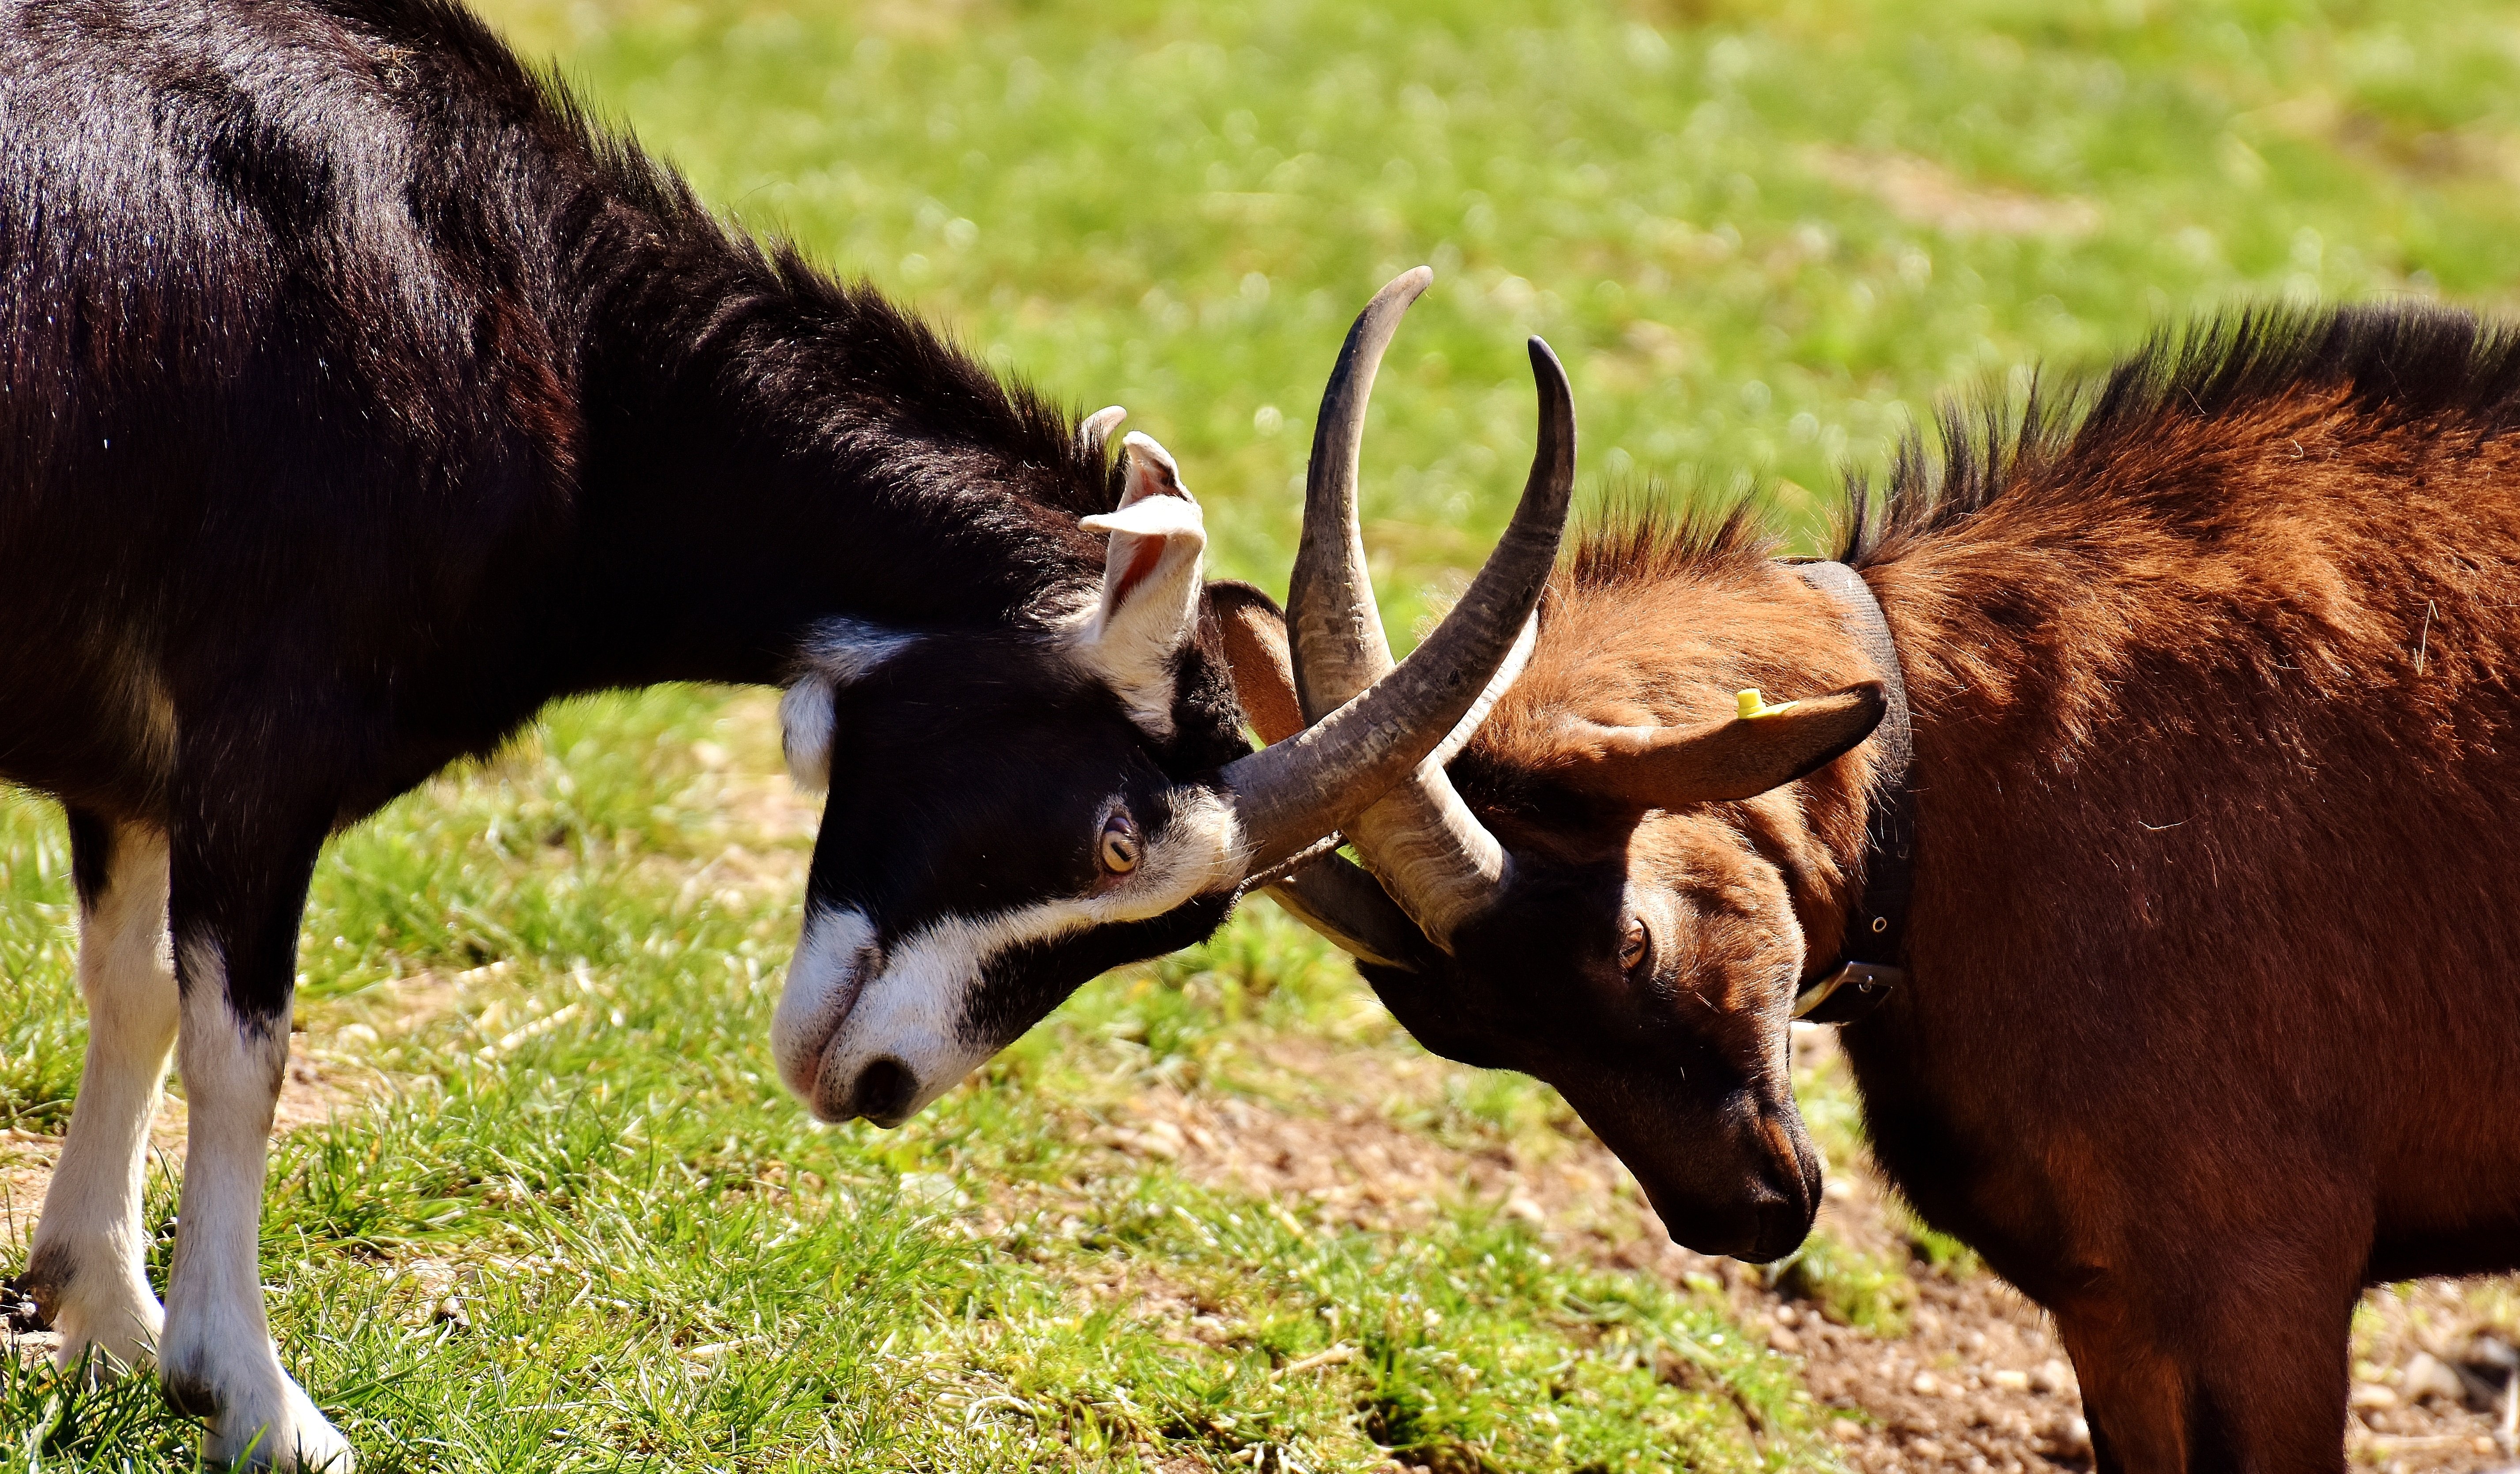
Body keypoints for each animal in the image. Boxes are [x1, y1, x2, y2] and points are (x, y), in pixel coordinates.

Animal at [0, 3, 1562, 1461]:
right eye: (1116, 839)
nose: (881, 1088)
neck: (555, 339)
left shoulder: (142, 769)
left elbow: (135, 988)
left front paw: (105, 1314)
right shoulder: (265, 749)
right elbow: (243, 1048)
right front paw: (252, 1398)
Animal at [1245, 293, 2520, 1461]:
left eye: (1631, 942)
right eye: (1475, 1038)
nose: (1746, 1214)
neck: (1961, 773)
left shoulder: (2258, 1285)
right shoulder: (2113, 1307)